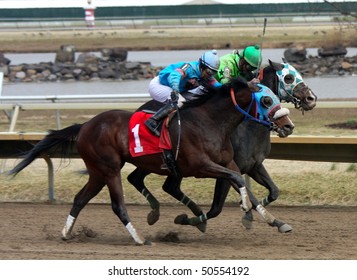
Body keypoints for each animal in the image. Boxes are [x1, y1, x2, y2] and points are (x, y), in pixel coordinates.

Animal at [11, 77, 294, 244]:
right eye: (266, 99)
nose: (288, 125)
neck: (210, 122)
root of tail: (85, 126)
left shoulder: (228, 163)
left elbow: (240, 181)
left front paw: (269, 218)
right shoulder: (201, 166)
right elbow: (235, 182)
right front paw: (245, 208)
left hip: (99, 171)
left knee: (81, 199)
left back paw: (66, 233)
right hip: (109, 168)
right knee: (118, 204)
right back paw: (138, 238)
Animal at [127, 60, 314, 233]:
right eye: (289, 77)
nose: (311, 98)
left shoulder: (253, 165)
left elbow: (273, 191)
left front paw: (268, 218)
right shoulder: (225, 170)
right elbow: (218, 207)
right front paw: (248, 214)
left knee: (151, 182)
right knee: (149, 181)